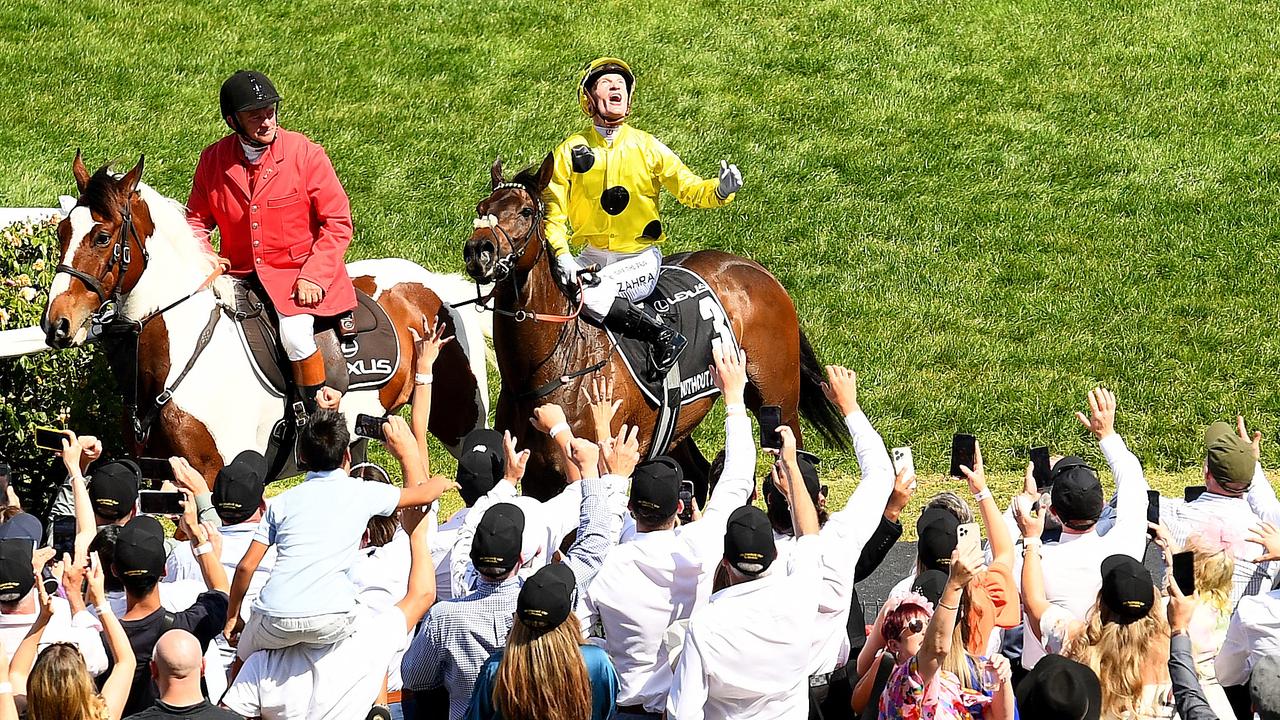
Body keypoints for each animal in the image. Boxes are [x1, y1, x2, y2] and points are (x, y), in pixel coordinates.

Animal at [42, 154, 486, 484]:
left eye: (102, 237)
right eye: (62, 232)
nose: (56, 324)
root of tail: (433, 284)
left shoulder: (214, 475)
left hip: (461, 426)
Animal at [465, 153, 844, 497]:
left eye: (525, 211)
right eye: (482, 207)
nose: (478, 250)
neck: (550, 366)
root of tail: (753, 267)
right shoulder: (535, 481)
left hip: (778, 400)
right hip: (679, 421)